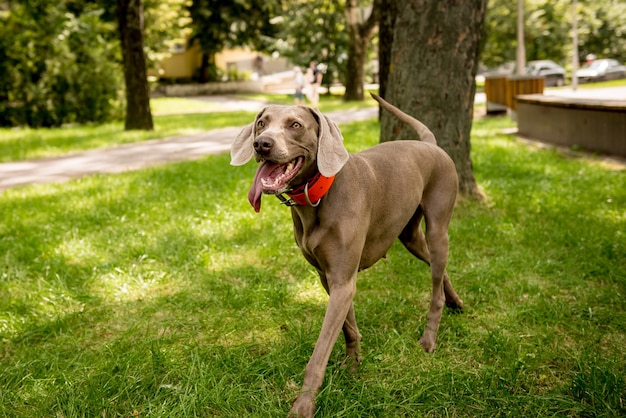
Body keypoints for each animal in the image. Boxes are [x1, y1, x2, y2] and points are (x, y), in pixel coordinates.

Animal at [230, 94, 464, 418]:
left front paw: (303, 404)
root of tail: (431, 144)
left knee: (436, 282)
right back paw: (455, 301)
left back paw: (429, 337)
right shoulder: (329, 278)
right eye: (262, 123)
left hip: (438, 224)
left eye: (295, 125)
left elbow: (319, 352)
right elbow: (348, 326)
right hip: (410, 236)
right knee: (437, 268)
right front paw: (353, 364)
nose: (261, 144)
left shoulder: (343, 280)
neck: (316, 197)